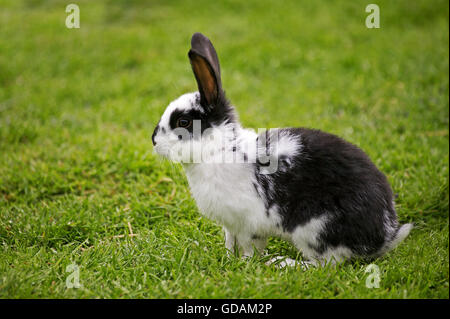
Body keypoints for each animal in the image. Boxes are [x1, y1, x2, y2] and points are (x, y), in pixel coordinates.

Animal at [153, 33, 414, 268]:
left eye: (184, 122)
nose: (154, 141)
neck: (222, 148)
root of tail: (383, 236)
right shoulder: (231, 225)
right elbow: (230, 243)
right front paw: (228, 259)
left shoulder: (249, 224)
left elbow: (249, 248)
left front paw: (246, 264)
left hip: (314, 230)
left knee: (326, 264)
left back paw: (282, 263)